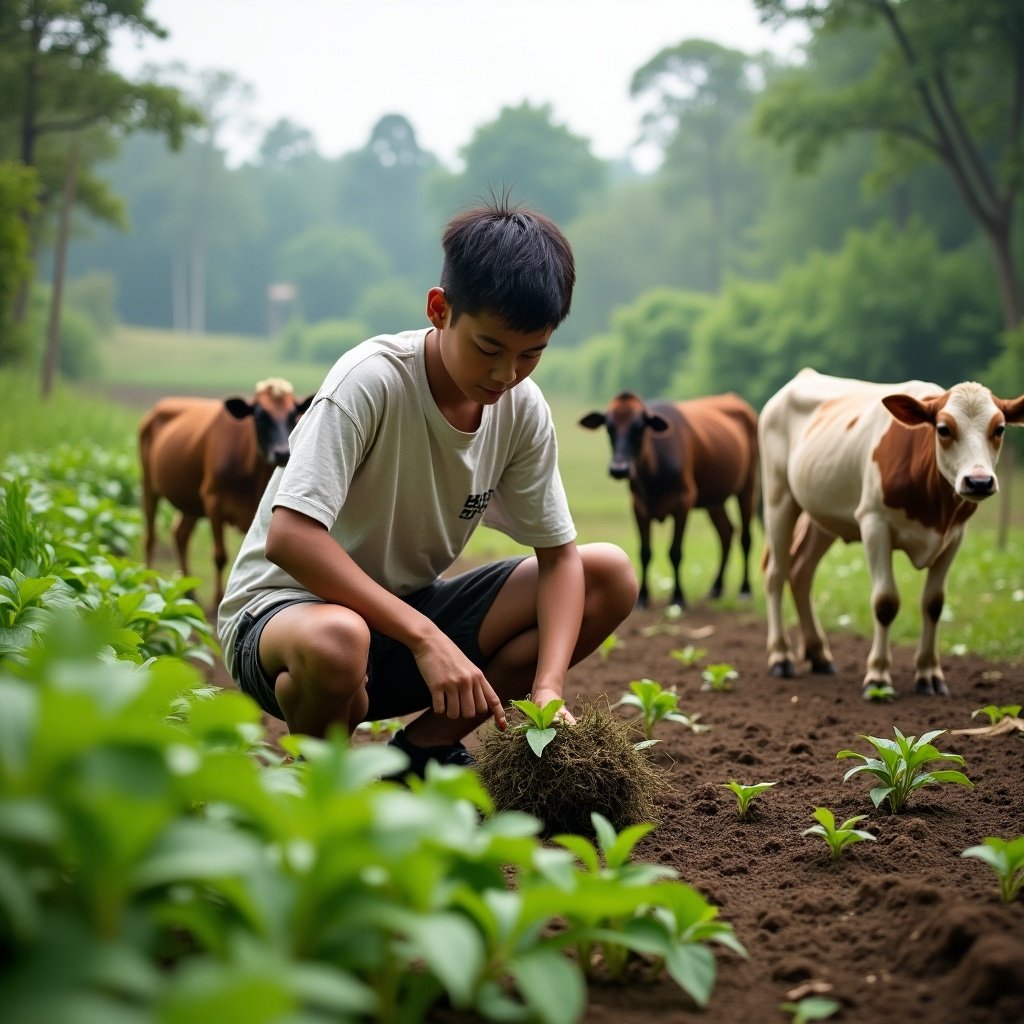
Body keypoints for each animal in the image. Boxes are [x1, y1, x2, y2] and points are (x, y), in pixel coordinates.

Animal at [138, 378, 311, 606]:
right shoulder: (213, 502)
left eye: (293, 415)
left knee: (180, 534)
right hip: (148, 484)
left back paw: (189, 592)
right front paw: (215, 603)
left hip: (191, 502)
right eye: (259, 415)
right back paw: (148, 585)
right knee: (150, 537)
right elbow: (220, 556)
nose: (282, 452)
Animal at [577, 391, 761, 606]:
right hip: (714, 499)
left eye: (639, 428)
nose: (619, 469)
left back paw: (745, 589)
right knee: (726, 532)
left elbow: (675, 552)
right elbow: (645, 551)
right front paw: (643, 597)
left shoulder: (683, 503)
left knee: (746, 537)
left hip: (748, 486)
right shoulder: (638, 506)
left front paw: (678, 596)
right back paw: (716, 587)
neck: (652, 476)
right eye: (609, 427)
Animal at [761, 368, 1024, 696]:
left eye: (999, 428)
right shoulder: (874, 523)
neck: (933, 505)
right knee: (776, 573)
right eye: (943, 429)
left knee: (801, 572)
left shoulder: (954, 535)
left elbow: (934, 604)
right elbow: (885, 602)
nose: (978, 481)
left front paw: (929, 675)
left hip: (821, 515)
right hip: (778, 497)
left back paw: (819, 654)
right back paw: (780, 656)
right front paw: (878, 677)